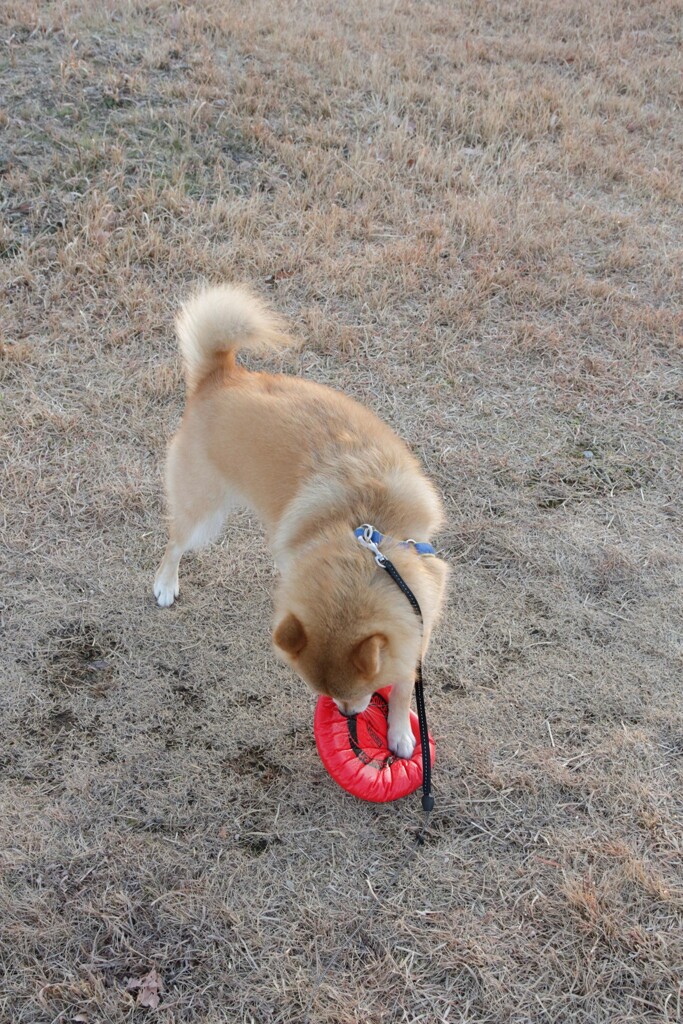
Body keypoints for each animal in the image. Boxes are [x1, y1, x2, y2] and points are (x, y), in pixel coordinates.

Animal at [153, 284, 448, 757]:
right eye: (328, 695)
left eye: (361, 691)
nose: (348, 716)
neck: (368, 534)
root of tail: (222, 374)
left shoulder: (421, 611)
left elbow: (408, 679)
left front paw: (402, 732)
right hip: (203, 511)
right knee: (175, 544)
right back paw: (165, 584)